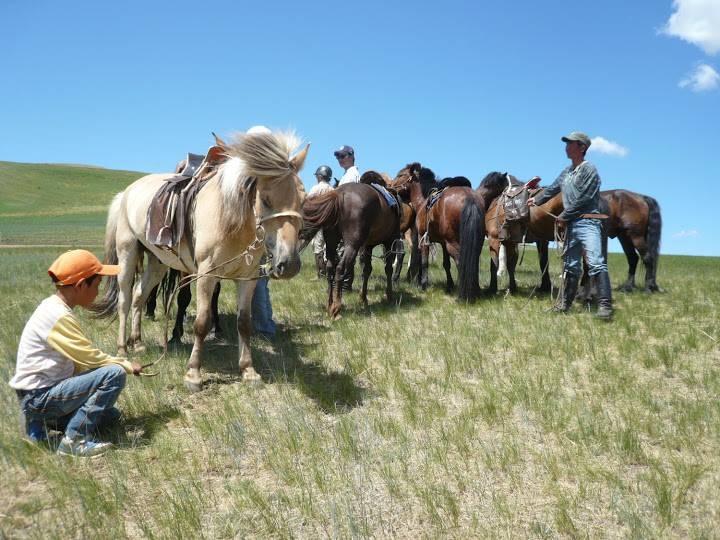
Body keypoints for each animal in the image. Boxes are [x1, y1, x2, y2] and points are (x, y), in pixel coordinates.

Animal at [94, 131, 308, 392]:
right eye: (266, 200)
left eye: (303, 199)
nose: (289, 264)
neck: (231, 219)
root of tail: (125, 193)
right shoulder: (206, 275)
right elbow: (202, 322)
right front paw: (193, 374)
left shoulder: (247, 278)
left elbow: (244, 323)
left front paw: (248, 371)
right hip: (128, 253)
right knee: (124, 299)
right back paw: (123, 350)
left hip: (158, 262)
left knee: (139, 295)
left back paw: (138, 343)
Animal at [390, 162, 486, 302]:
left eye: (401, 175)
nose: (390, 186)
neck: (423, 202)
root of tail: (470, 197)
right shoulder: (443, 242)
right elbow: (446, 264)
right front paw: (449, 286)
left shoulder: (424, 238)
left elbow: (424, 262)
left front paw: (423, 285)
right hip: (475, 241)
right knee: (473, 262)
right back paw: (476, 290)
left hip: (453, 243)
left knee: (460, 261)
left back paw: (464, 295)